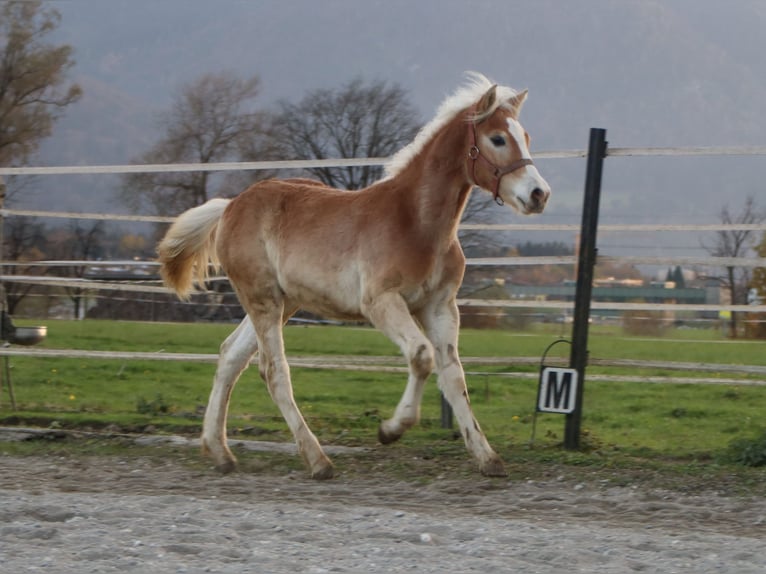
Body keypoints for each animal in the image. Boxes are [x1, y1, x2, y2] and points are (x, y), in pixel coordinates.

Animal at [158, 73, 552, 482]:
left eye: (525, 136)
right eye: (497, 138)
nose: (539, 194)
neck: (417, 222)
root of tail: (230, 207)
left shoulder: (440, 306)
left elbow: (453, 375)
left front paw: (487, 457)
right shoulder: (381, 302)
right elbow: (422, 357)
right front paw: (390, 430)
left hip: (281, 302)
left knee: (230, 356)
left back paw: (219, 452)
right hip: (262, 298)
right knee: (273, 370)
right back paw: (317, 460)